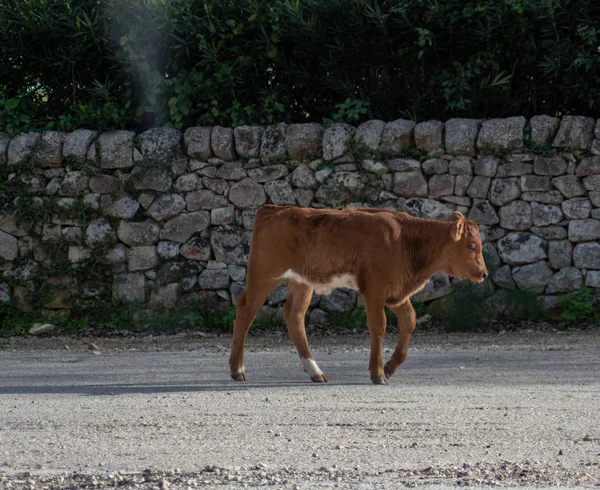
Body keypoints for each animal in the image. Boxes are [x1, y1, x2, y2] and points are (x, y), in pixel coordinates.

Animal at [230, 205, 488, 384]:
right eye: (471, 246)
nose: (484, 273)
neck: (404, 240)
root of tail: (273, 208)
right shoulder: (375, 289)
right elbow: (379, 327)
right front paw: (377, 373)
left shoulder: (397, 292)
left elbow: (410, 321)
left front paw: (391, 367)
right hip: (264, 274)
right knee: (246, 310)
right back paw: (237, 369)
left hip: (301, 282)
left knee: (294, 316)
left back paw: (315, 371)